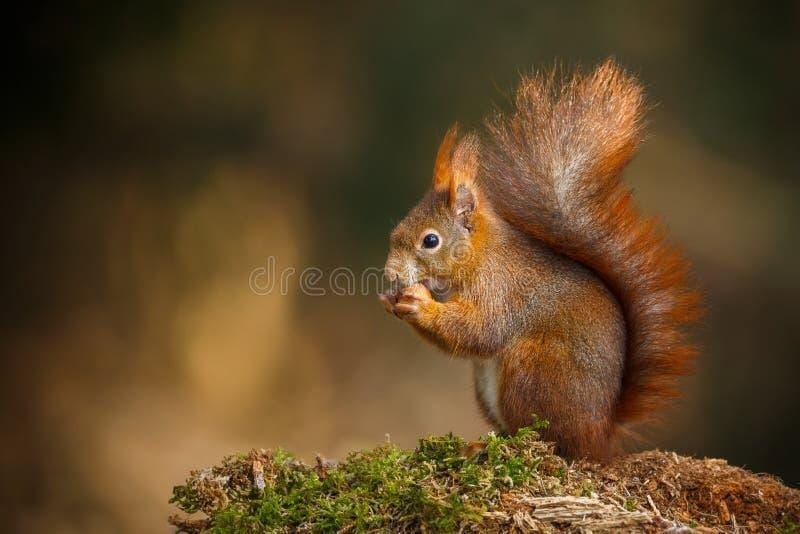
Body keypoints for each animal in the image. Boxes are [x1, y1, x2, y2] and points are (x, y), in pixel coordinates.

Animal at [378, 60, 701, 461]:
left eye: (431, 241)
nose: (389, 274)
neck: (481, 256)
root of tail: (600, 436)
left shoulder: (501, 290)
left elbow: (480, 331)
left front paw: (419, 303)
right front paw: (390, 300)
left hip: (533, 368)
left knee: (552, 440)